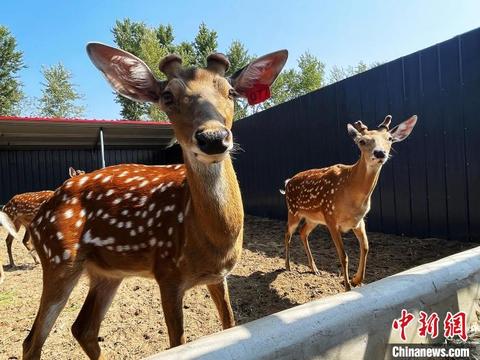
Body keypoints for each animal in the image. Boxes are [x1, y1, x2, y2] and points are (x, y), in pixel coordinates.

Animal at [21, 43, 284, 358]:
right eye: (167, 96)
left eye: (231, 92)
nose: (213, 137)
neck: (209, 240)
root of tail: (42, 211)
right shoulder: (166, 272)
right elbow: (178, 343)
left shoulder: (219, 276)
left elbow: (229, 324)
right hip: (58, 258)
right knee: (32, 341)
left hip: (107, 271)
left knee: (83, 328)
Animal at [282, 116, 416, 292]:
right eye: (362, 141)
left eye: (389, 138)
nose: (380, 152)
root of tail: (287, 182)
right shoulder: (331, 218)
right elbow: (343, 255)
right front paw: (347, 287)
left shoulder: (359, 221)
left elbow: (365, 247)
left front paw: (356, 280)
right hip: (293, 211)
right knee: (288, 233)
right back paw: (287, 266)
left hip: (313, 218)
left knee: (303, 232)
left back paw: (314, 268)